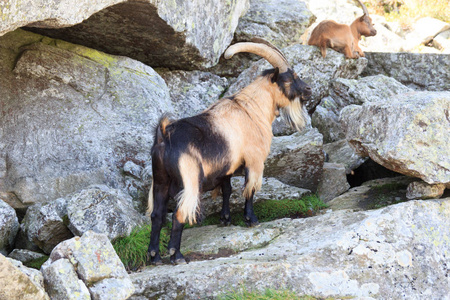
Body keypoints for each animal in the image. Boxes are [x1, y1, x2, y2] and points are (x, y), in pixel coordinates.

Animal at [148, 39, 312, 264]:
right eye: (289, 79)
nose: (309, 90)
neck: (252, 109)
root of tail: (165, 135)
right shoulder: (255, 160)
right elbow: (250, 190)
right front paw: (251, 220)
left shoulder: (226, 167)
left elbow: (227, 190)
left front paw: (225, 218)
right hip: (189, 180)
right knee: (179, 214)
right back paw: (177, 255)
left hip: (160, 180)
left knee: (157, 215)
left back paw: (154, 256)